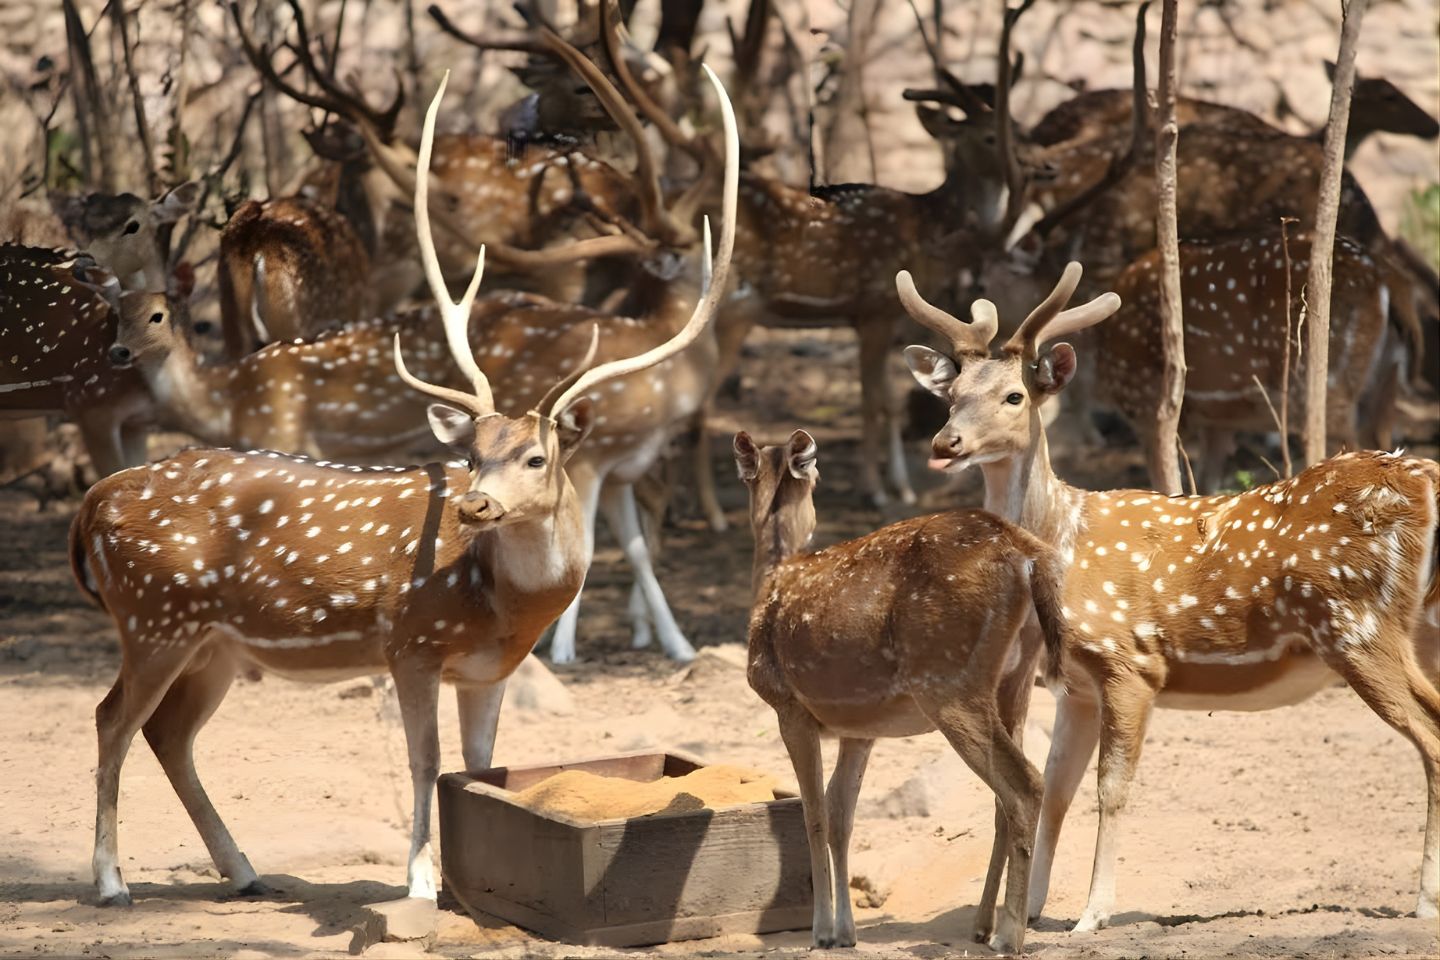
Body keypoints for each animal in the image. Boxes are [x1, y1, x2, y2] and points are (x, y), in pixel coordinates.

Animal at [70, 64, 737, 907]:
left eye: (535, 457)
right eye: (474, 450)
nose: (475, 504)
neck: (498, 605)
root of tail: (96, 502)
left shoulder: (488, 671)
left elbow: (484, 770)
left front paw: (465, 875)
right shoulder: (410, 643)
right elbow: (427, 762)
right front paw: (419, 881)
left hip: (210, 641)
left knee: (167, 733)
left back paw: (245, 870)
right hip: (153, 618)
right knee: (110, 719)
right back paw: (111, 882)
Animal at [737, 427, 1068, 952]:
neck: (775, 574)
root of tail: (1028, 556)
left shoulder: (788, 704)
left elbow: (812, 814)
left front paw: (822, 931)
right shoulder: (859, 727)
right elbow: (841, 816)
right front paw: (847, 931)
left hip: (948, 681)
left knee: (1025, 784)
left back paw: (1008, 934)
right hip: (1014, 680)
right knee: (1006, 795)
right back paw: (982, 924)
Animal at [897, 261, 1440, 931]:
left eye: (1014, 395)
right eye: (951, 395)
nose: (945, 443)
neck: (1062, 545)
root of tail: (1423, 479)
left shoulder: (1130, 661)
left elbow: (1111, 790)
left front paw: (1092, 915)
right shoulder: (1075, 685)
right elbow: (1054, 791)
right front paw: (1029, 911)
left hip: (1357, 626)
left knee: (1431, 740)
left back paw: (1424, 901)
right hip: (1415, 629)